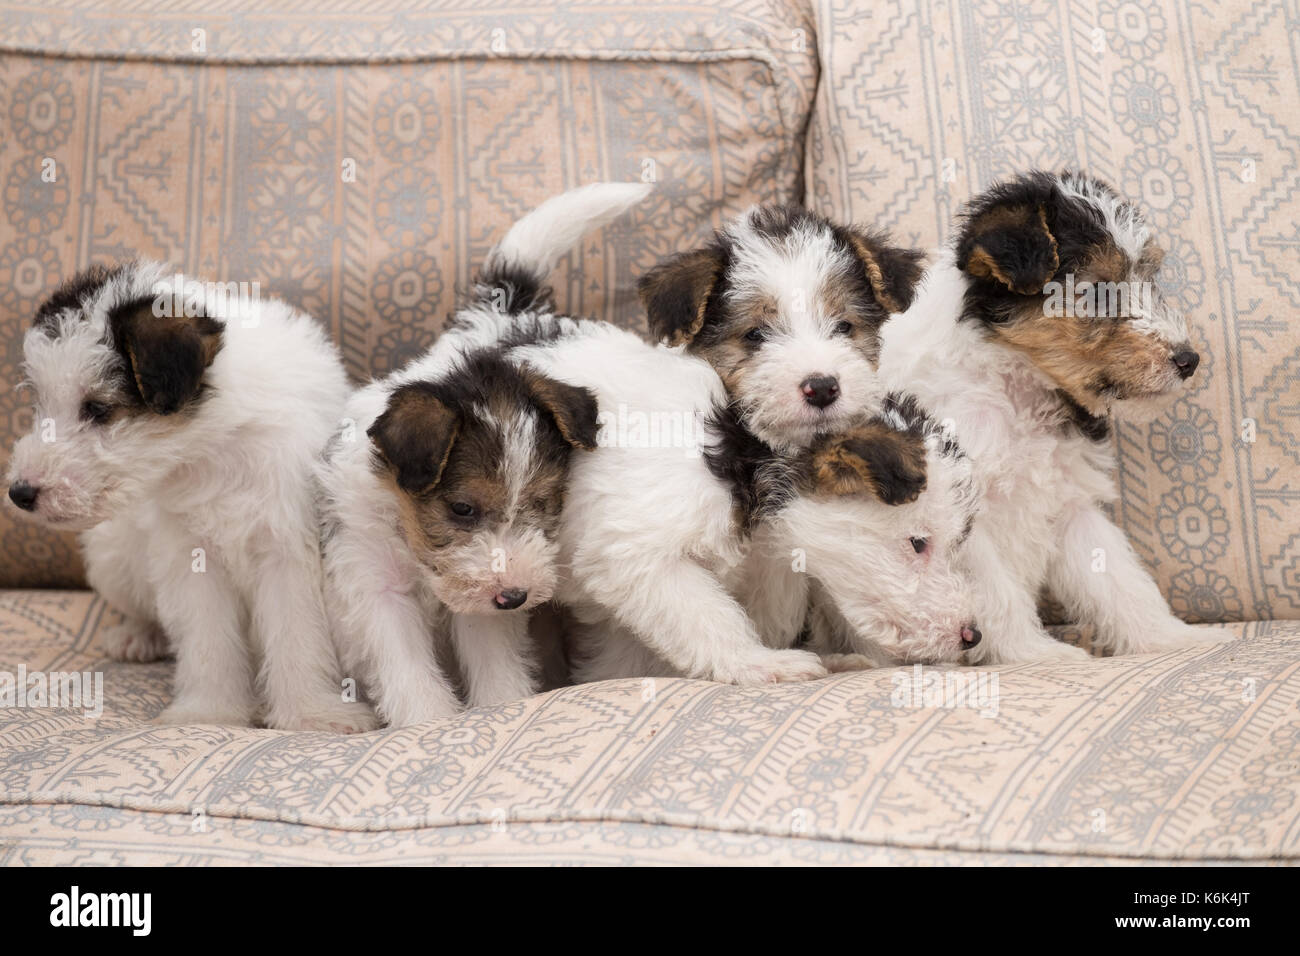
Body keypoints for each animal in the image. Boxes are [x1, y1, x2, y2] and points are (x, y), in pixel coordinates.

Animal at [8, 265, 377, 738]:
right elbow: (208, 639)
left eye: (98, 409)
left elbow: (297, 633)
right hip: (113, 558)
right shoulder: (191, 557)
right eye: (41, 405)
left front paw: (311, 712)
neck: (213, 449)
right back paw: (137, 635)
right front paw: (210, 712)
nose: (20, 492)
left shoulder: (287, 548)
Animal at [317, 183, 647, 728]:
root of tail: (501, 310)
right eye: (462, 508)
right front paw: (426, 721)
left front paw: (501, 706)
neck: (415, 549)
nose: (514, 595)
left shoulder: (481, 610)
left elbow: (494, 662)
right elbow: (407, 672)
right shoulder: (375, 584)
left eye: (541, 503)